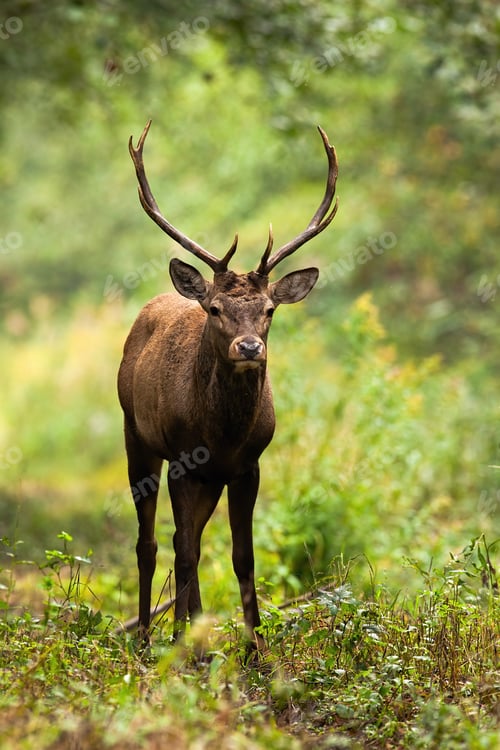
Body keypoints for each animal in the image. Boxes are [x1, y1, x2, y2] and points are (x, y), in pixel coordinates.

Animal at [118, 120, 338, 650]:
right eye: (216, 308)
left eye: (270, 309)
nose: (249, 347)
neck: (221, 434)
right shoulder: (182, 459)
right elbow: (181, 550)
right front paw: (181, 646)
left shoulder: (247, 465)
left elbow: (242, 556)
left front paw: (255, 649)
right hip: (135, 433)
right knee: (152, 542)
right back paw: (149, 637)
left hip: (210, 477)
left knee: (192, 538)